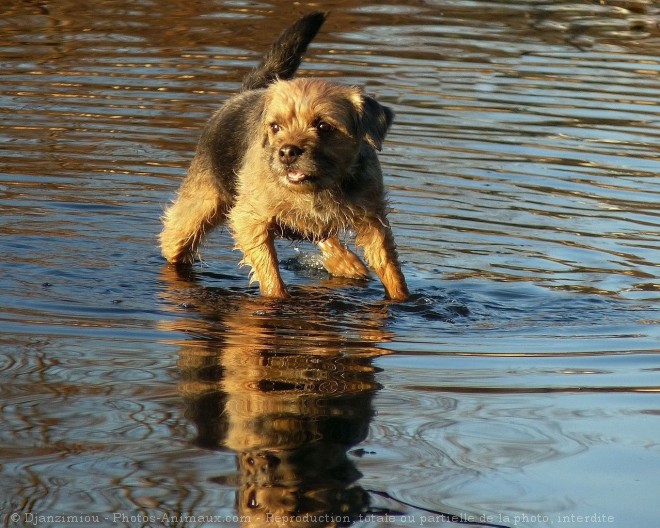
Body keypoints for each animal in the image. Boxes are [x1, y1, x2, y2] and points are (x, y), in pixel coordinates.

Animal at [160, 10, 408, 302]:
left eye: (323, 126)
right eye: (276, 127)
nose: (287, 151)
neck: (316, 190)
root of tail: (243, 93)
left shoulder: (373, 221)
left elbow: (390, 268)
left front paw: (403, 299)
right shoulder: (250, 220)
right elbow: (270, 274)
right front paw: (277, 298)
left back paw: (347, 263)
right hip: (195, 212)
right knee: (172, 241)